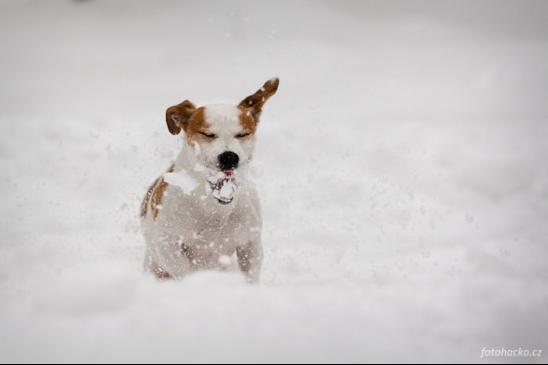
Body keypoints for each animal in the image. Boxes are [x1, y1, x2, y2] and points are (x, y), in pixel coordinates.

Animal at [141, 76, 280, 282]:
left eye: (242, 134)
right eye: (207, 134)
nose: (229, 157)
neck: (212, 208)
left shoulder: (249, 244)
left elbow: (251, 275)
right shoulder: (168, 245)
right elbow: (183, 270)